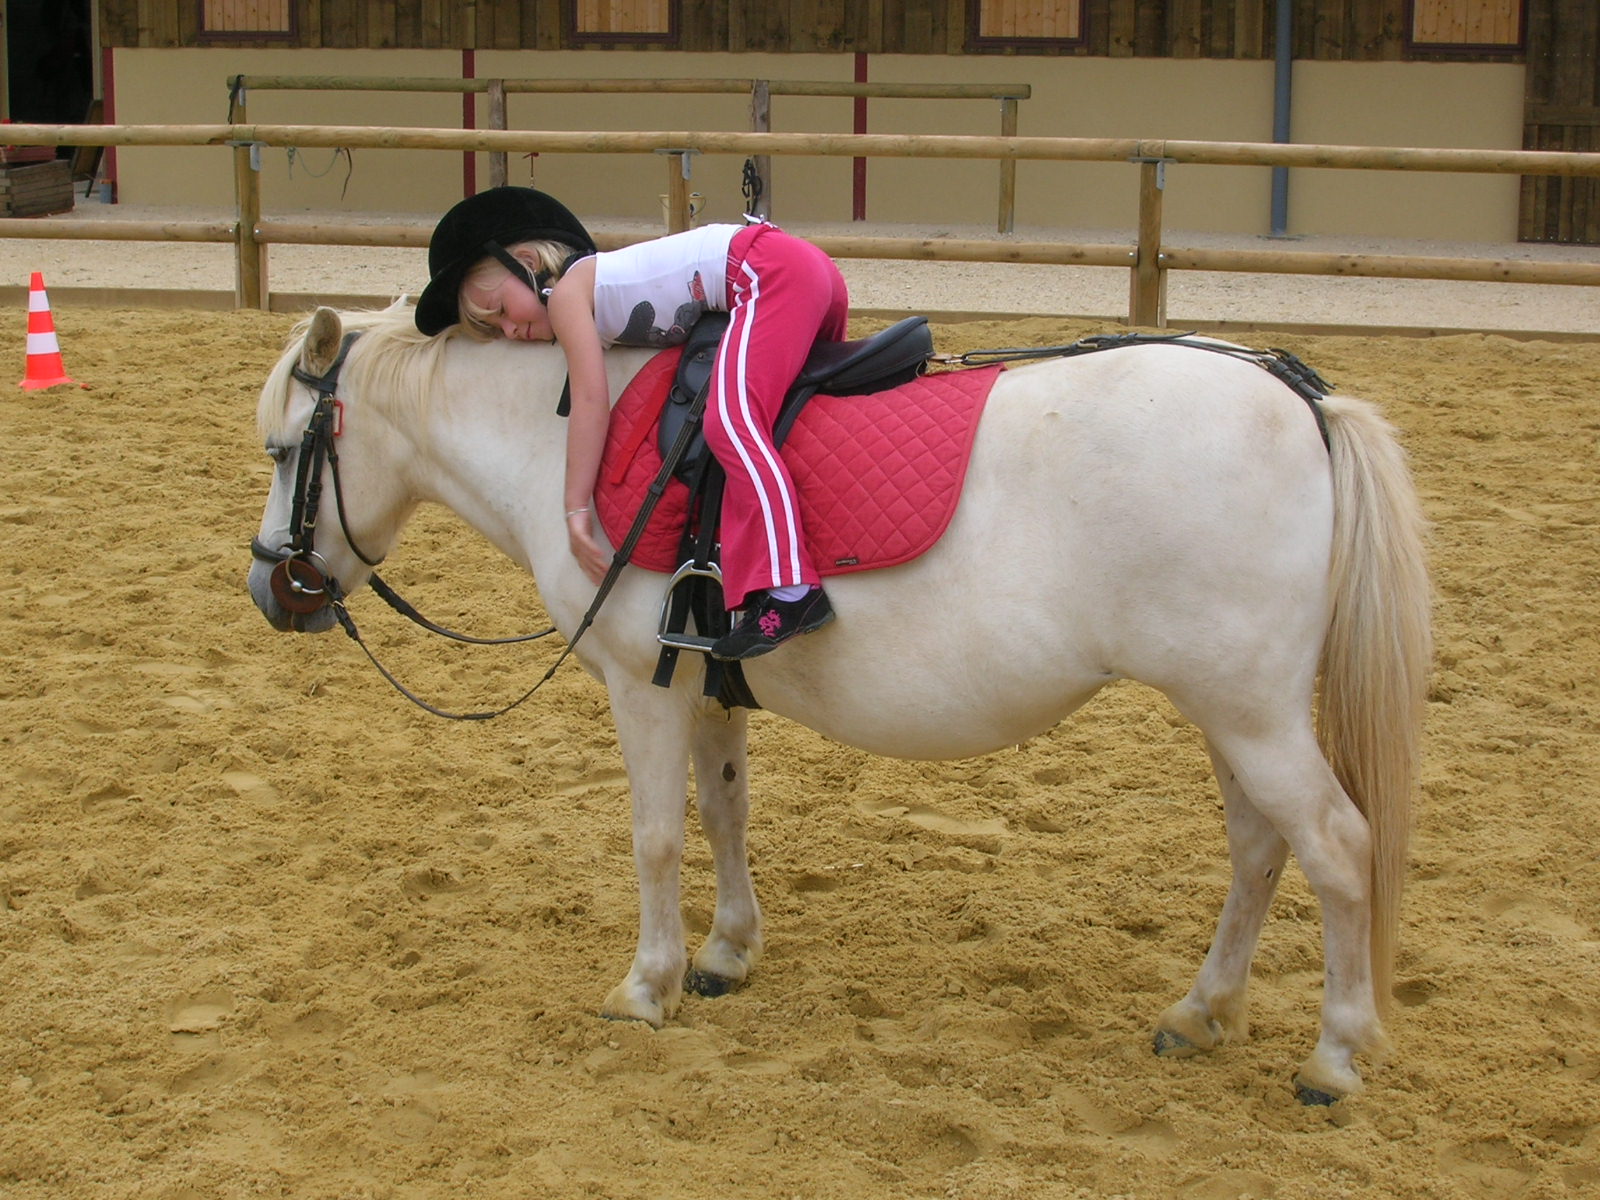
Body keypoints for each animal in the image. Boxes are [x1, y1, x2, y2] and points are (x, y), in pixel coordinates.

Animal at [246, 304, 1430, 1104]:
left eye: (284, 449)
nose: (270, 588)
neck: (580, 432)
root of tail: (1298, 397)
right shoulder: (704, 683)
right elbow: (724, 813)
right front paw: (726, 954)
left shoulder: (640, 688)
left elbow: (655, 837)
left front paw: (646, 984)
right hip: (1233, 713)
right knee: (1258, 849)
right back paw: (1202, 1010)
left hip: (1248, 715)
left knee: (1333, 848)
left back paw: (1333, 1054)